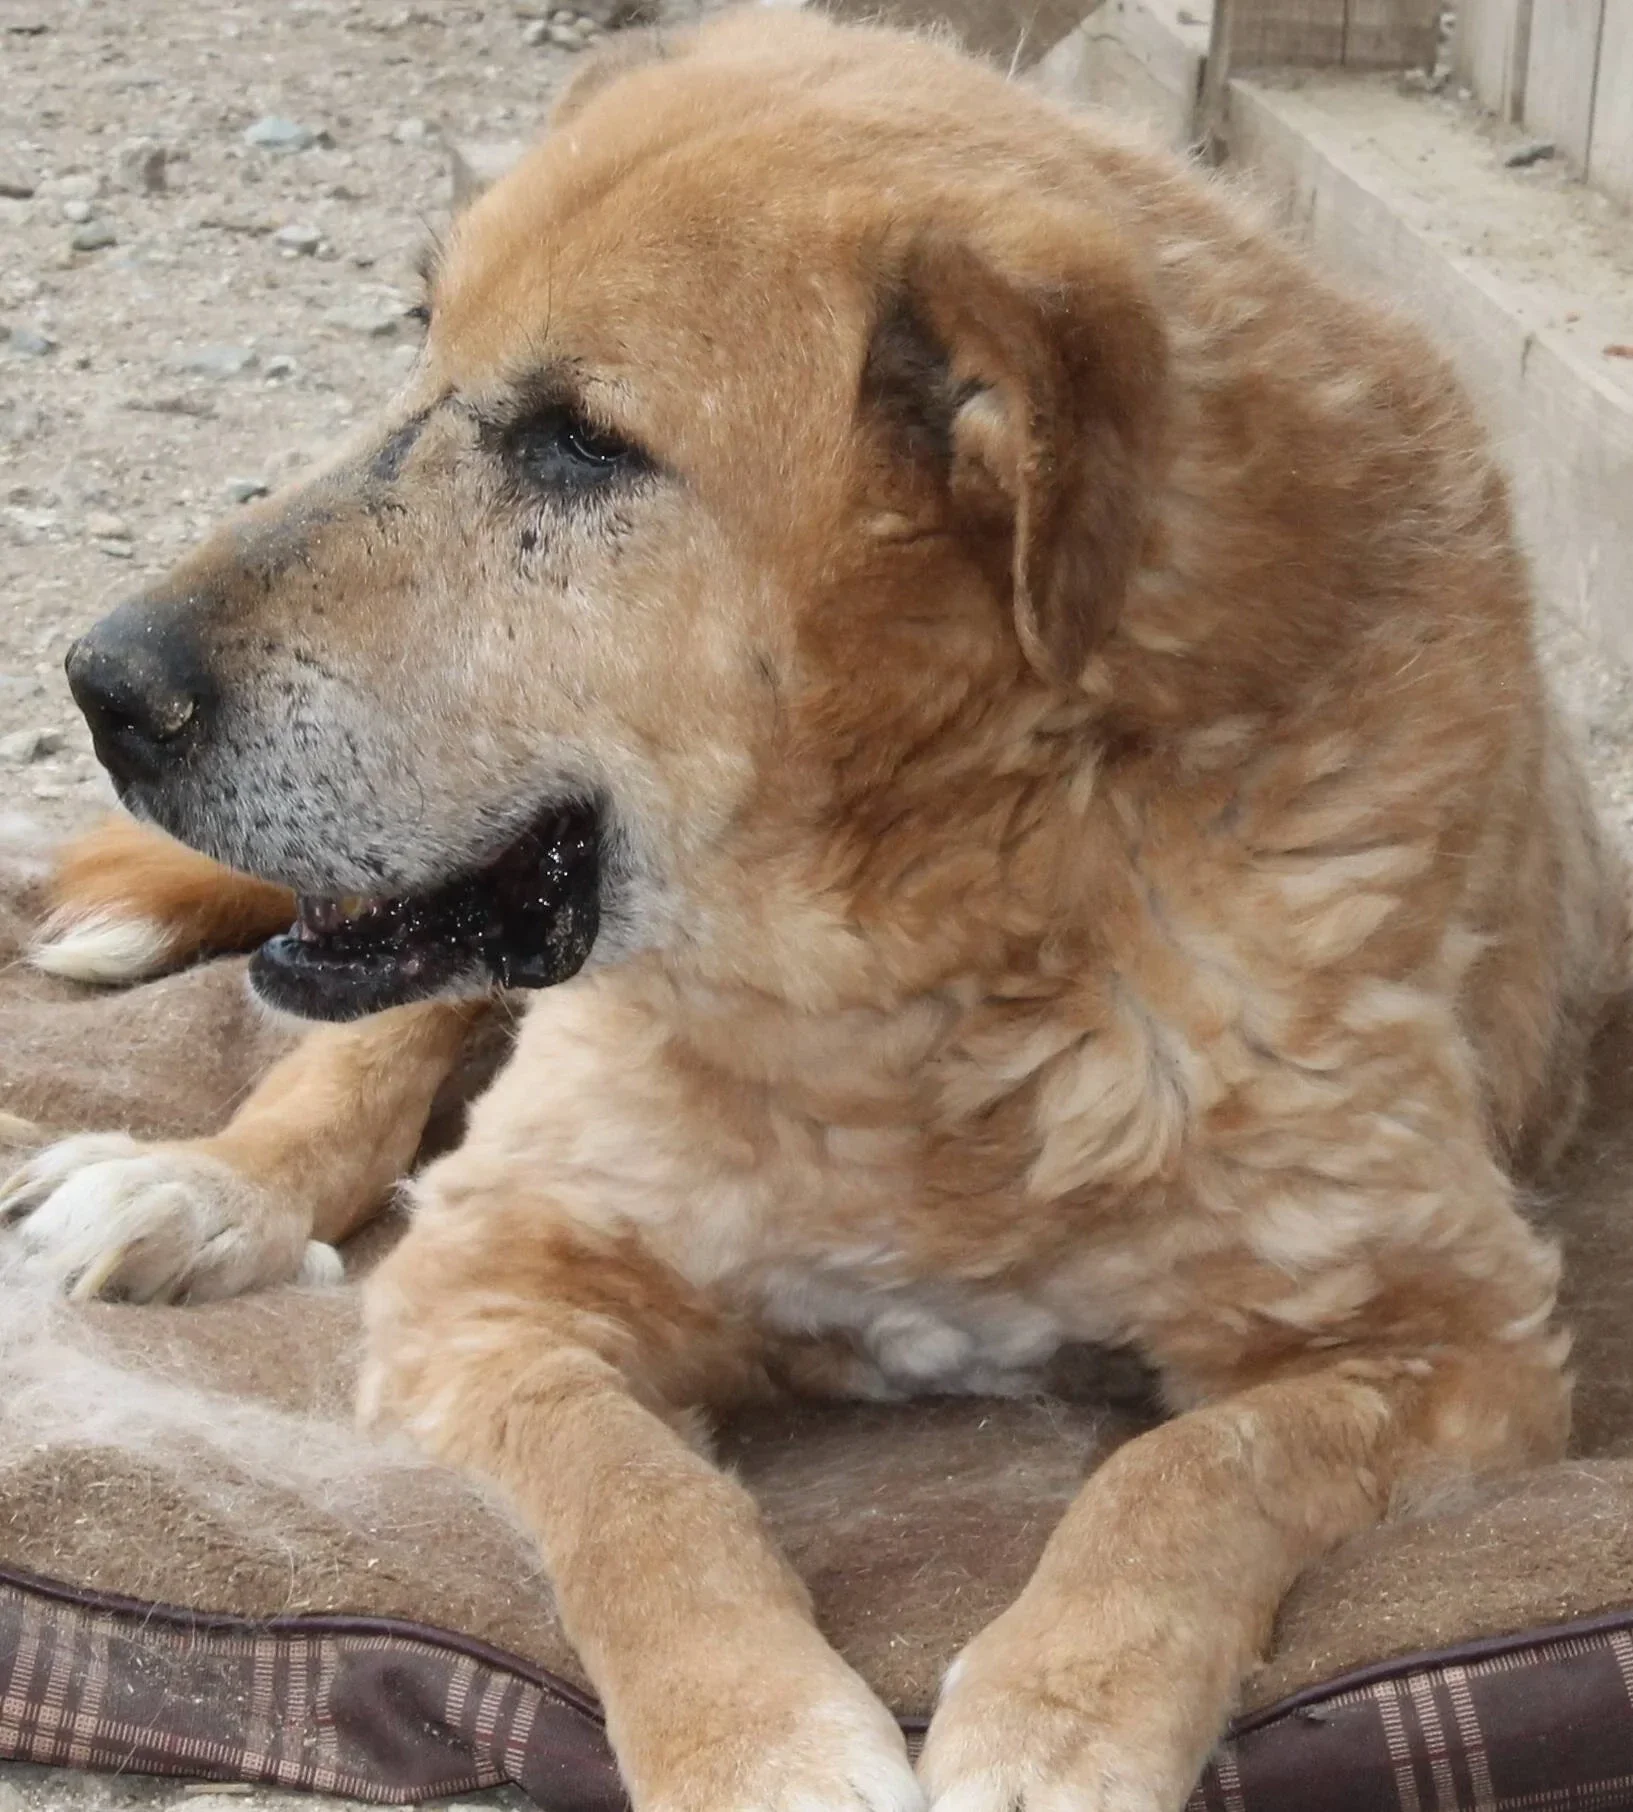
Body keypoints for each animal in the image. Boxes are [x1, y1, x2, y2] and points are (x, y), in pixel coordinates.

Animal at [3, 10, 1628, 1808]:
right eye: (418, 343)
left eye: (581, 442)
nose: (101, 686)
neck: (925, 951)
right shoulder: (487, 1281)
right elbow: (637, 1500)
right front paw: (760, 1742)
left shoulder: (1458, 1342)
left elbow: (1192, 1469)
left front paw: (1060, 1719)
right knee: (358, 1057)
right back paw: (205, 1188)